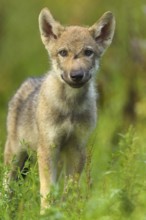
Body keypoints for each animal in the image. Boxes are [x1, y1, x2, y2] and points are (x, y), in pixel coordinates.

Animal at [3, 8, 115, 213]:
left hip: (58, 158)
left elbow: (69, 190)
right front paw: (47, 213)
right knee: (7, 188)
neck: (70, 107)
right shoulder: (48, 149)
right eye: (63, 53)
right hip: (16, 158)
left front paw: (67, 212)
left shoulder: (77, 149)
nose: (76, 75)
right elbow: (47, 190)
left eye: (88, 52)